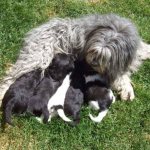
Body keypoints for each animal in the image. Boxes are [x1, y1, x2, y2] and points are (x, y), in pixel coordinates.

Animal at [0, 13, 150, 104]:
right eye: (94, 52)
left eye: (103, 56)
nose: (92, 62)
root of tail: (39, 30)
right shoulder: (110, 70)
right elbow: (121, 77)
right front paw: (127, 90)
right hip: (38, 57)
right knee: (11, 77)